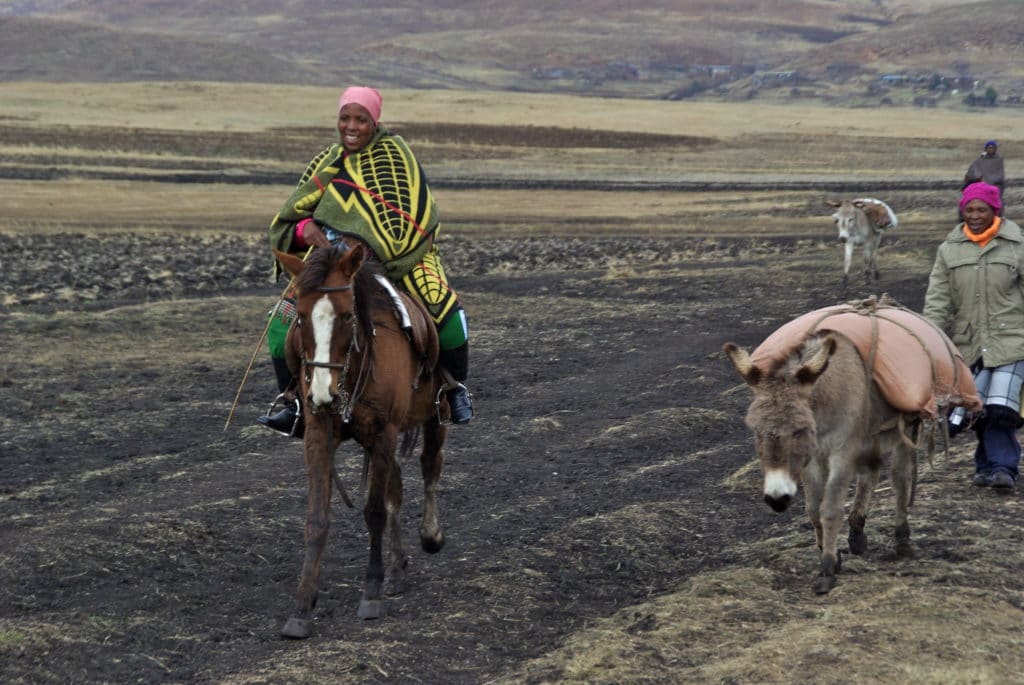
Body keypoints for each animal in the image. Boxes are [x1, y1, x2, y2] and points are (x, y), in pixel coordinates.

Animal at [272, 242, 448, 638]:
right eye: (301, 318)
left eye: (347, 315)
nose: (323, 394)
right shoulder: (319, 434)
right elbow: (317, 518)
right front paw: (302, 606)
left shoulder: (384, 434)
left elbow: (374, 512)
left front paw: (371, 593)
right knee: (397, 491)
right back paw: (397, 569)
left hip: (435, 413)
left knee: (430, 467)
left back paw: (430, 536)